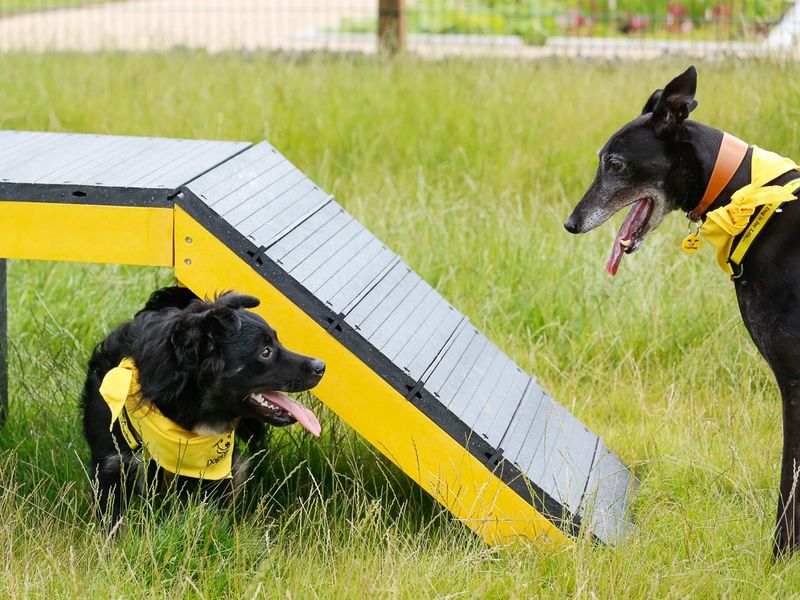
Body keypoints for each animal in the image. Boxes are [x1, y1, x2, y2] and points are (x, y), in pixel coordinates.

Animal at [83, 288, 324, 528]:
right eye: (265, 352)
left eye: (278, 342)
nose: (321, 366)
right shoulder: (111, 466)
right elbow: (112, 519)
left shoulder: (219, 473)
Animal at [564, 64, 796, 552]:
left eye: (615, 164)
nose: (570, 224)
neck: (751, 193)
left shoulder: (793, 378)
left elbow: (789, 493)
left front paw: (779, 562)